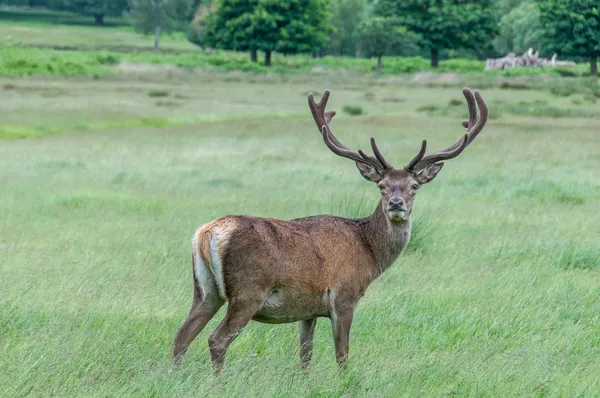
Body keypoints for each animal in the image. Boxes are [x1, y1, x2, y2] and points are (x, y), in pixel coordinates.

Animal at [172, 87, 488, 370]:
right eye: (382, 186)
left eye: (414, 186)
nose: (396, 204)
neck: (369, 252)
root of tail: (206, 233)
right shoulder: (344, 297)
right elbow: (342, 355)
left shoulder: (308, 310)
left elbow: (305, 356)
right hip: (247, 291)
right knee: (217, 339)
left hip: (205, 289)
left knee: (181, 336)